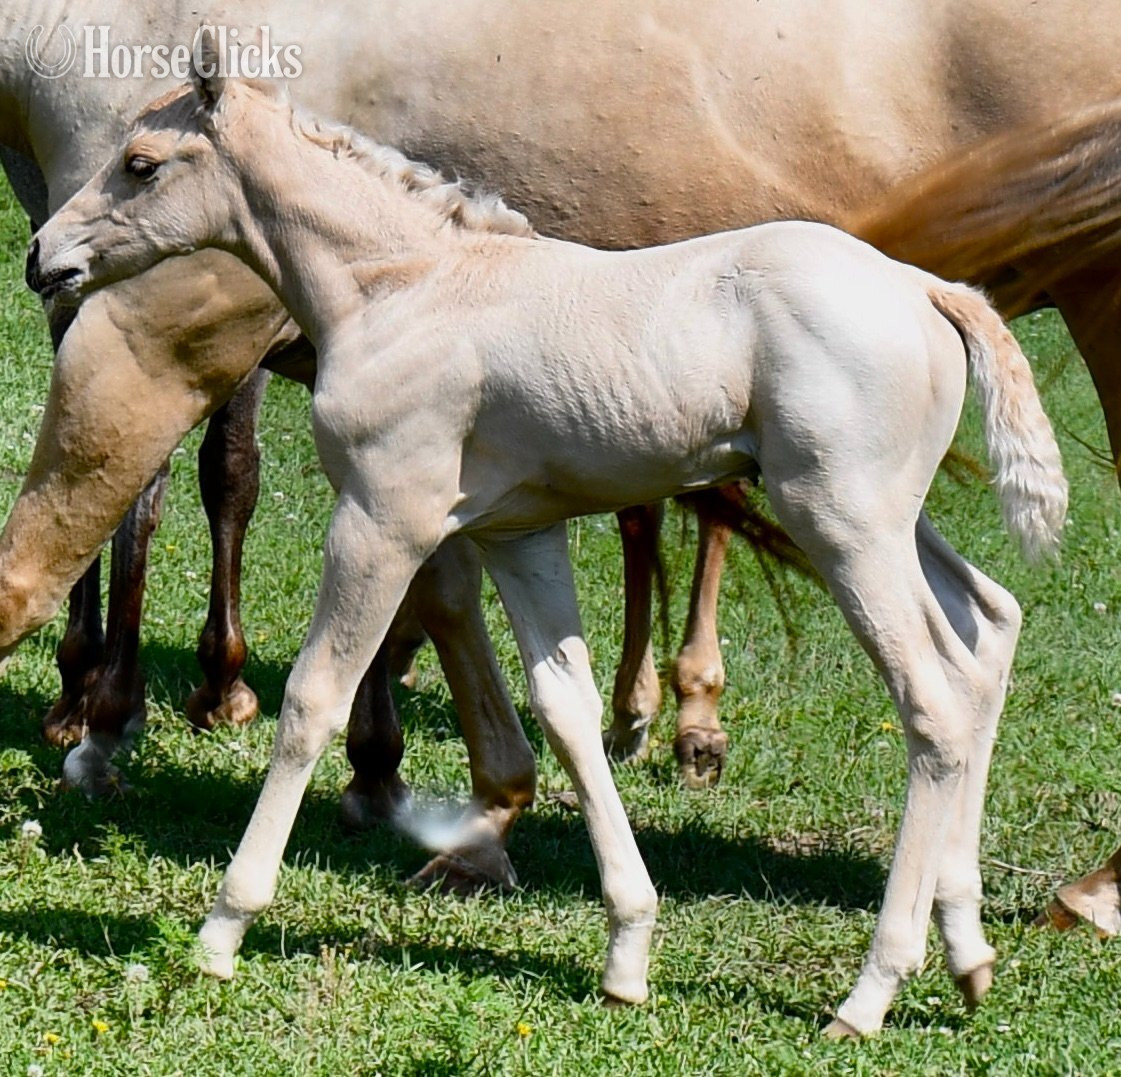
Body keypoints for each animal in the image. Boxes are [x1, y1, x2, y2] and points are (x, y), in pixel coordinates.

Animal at [2, 0, 1121, 906]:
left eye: (141, 164)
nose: (42, 259)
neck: (411, 279)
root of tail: (926, 288)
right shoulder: (477, 510)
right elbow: (482, 632)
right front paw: (455, 811)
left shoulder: (237, 387)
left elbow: (96, 520)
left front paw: (115, 726)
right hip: (888, 514)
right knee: (984, 632)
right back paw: (953, 917)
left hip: (857, 513)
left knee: (932, 693)